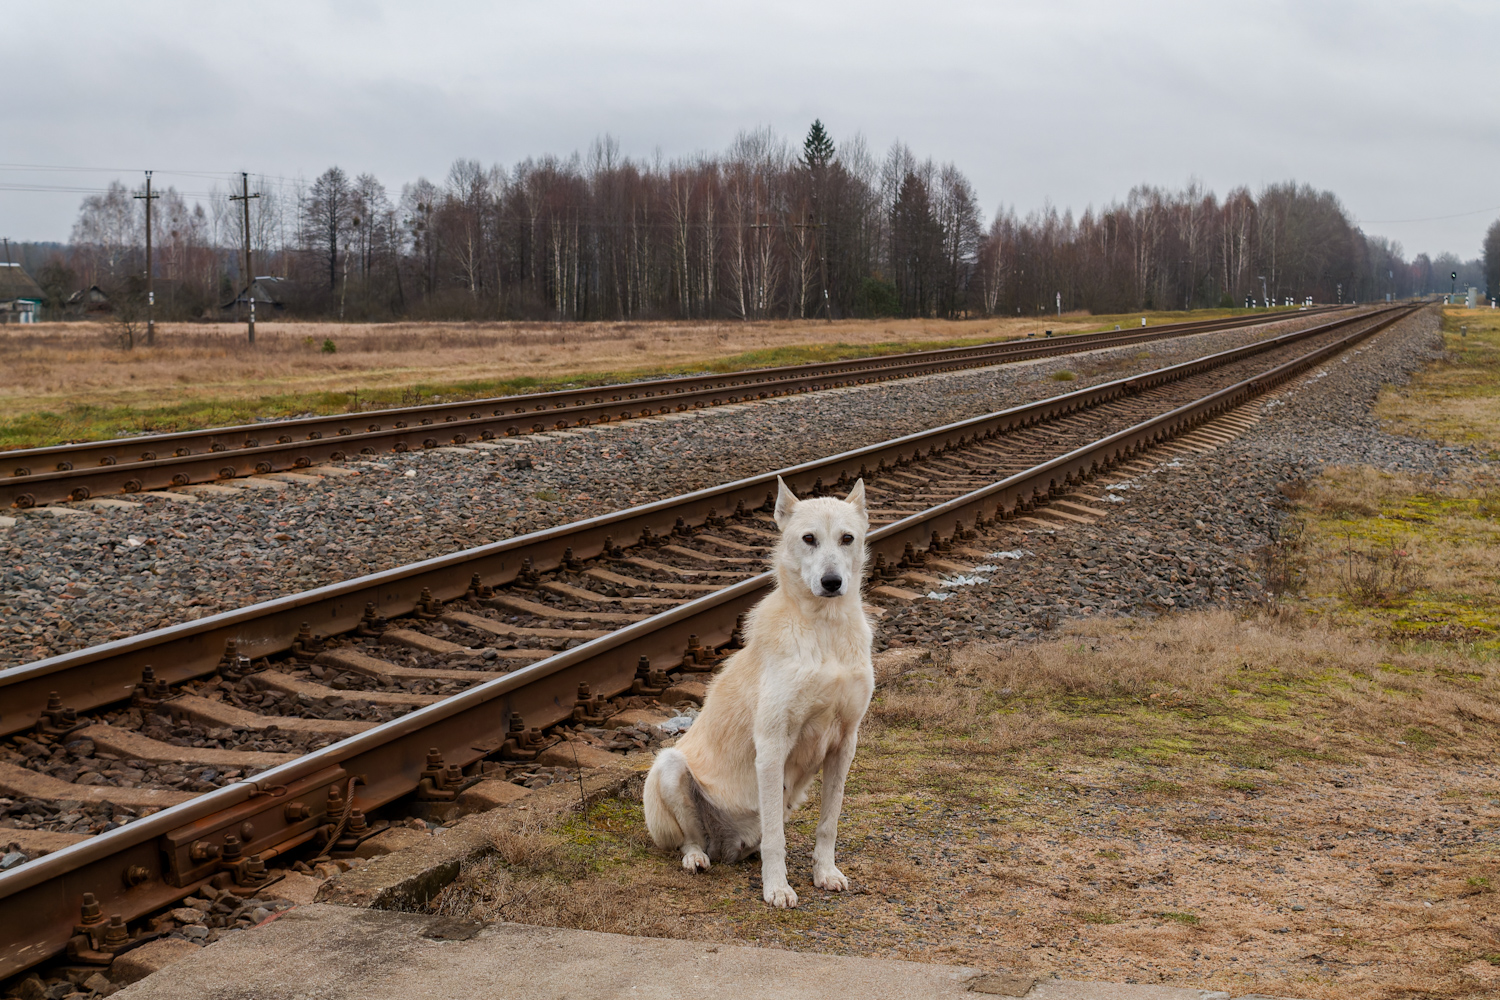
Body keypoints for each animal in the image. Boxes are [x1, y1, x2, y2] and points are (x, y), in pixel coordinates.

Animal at [639, 476, 876, 905]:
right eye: (809, 538)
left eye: (847, 538)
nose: (832, 583)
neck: (824, 628)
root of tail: (727, 846)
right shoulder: (771, 745)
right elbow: (776, 840)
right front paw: (777, 887)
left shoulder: (844, 744)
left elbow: (828, 824)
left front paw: (825, 872)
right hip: (669, 767)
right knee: (693, 839)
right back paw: (697, 857)